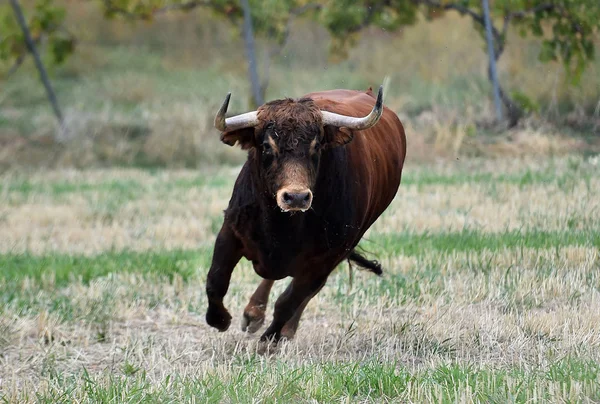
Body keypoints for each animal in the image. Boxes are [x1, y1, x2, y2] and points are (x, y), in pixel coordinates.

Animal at [206, 84, 408, 340]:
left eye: (316, 146)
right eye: (267, 146)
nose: (296, 197)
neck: (281, 225)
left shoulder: (325, 259)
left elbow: (289, 302)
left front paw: (269, 340)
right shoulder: (230, 231)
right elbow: (216, 281)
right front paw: (220, 320)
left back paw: (284, 328)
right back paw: (253, 313)